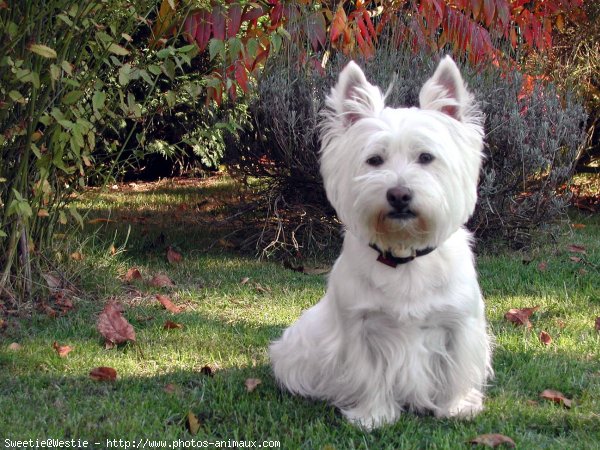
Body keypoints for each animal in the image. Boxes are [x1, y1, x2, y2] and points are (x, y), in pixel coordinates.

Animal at [270, 56, 492, 428]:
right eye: (374, 159)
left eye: (426, 157)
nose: (399, 194)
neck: (404, 255)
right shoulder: (360, 328)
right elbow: (369, 374)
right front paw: (373, 416)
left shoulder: (458, 323)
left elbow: (456, 368)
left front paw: (456, 406)